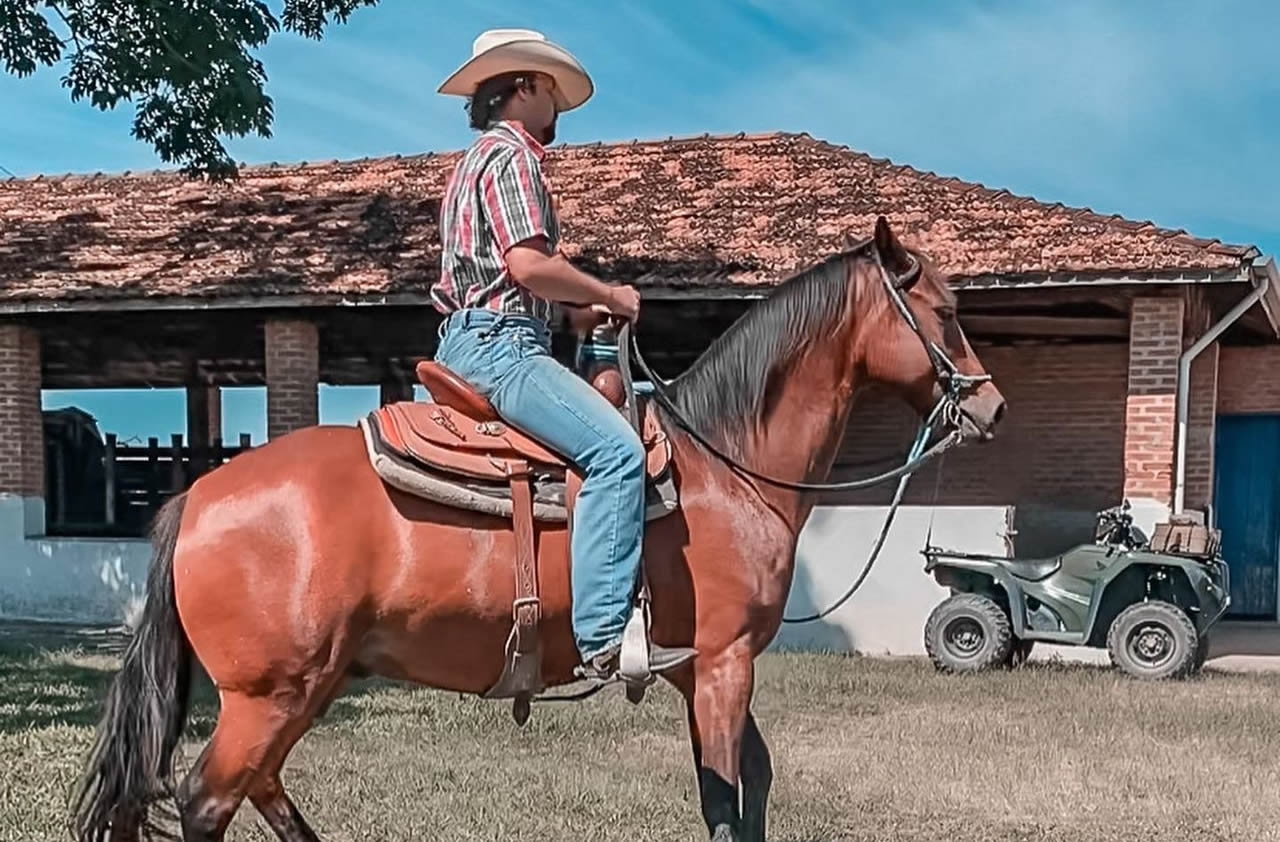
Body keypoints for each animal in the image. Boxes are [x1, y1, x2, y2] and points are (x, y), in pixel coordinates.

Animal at [74, 213, 1003, 834]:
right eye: (945, 311)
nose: (990, 406)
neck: (726, 466)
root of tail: (197, 498)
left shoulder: (696, 669)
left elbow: (755, 781)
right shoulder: (723, 663)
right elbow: (723, 795)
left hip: (304, 688)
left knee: (259, 790)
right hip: (268, 696)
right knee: (208, 801)